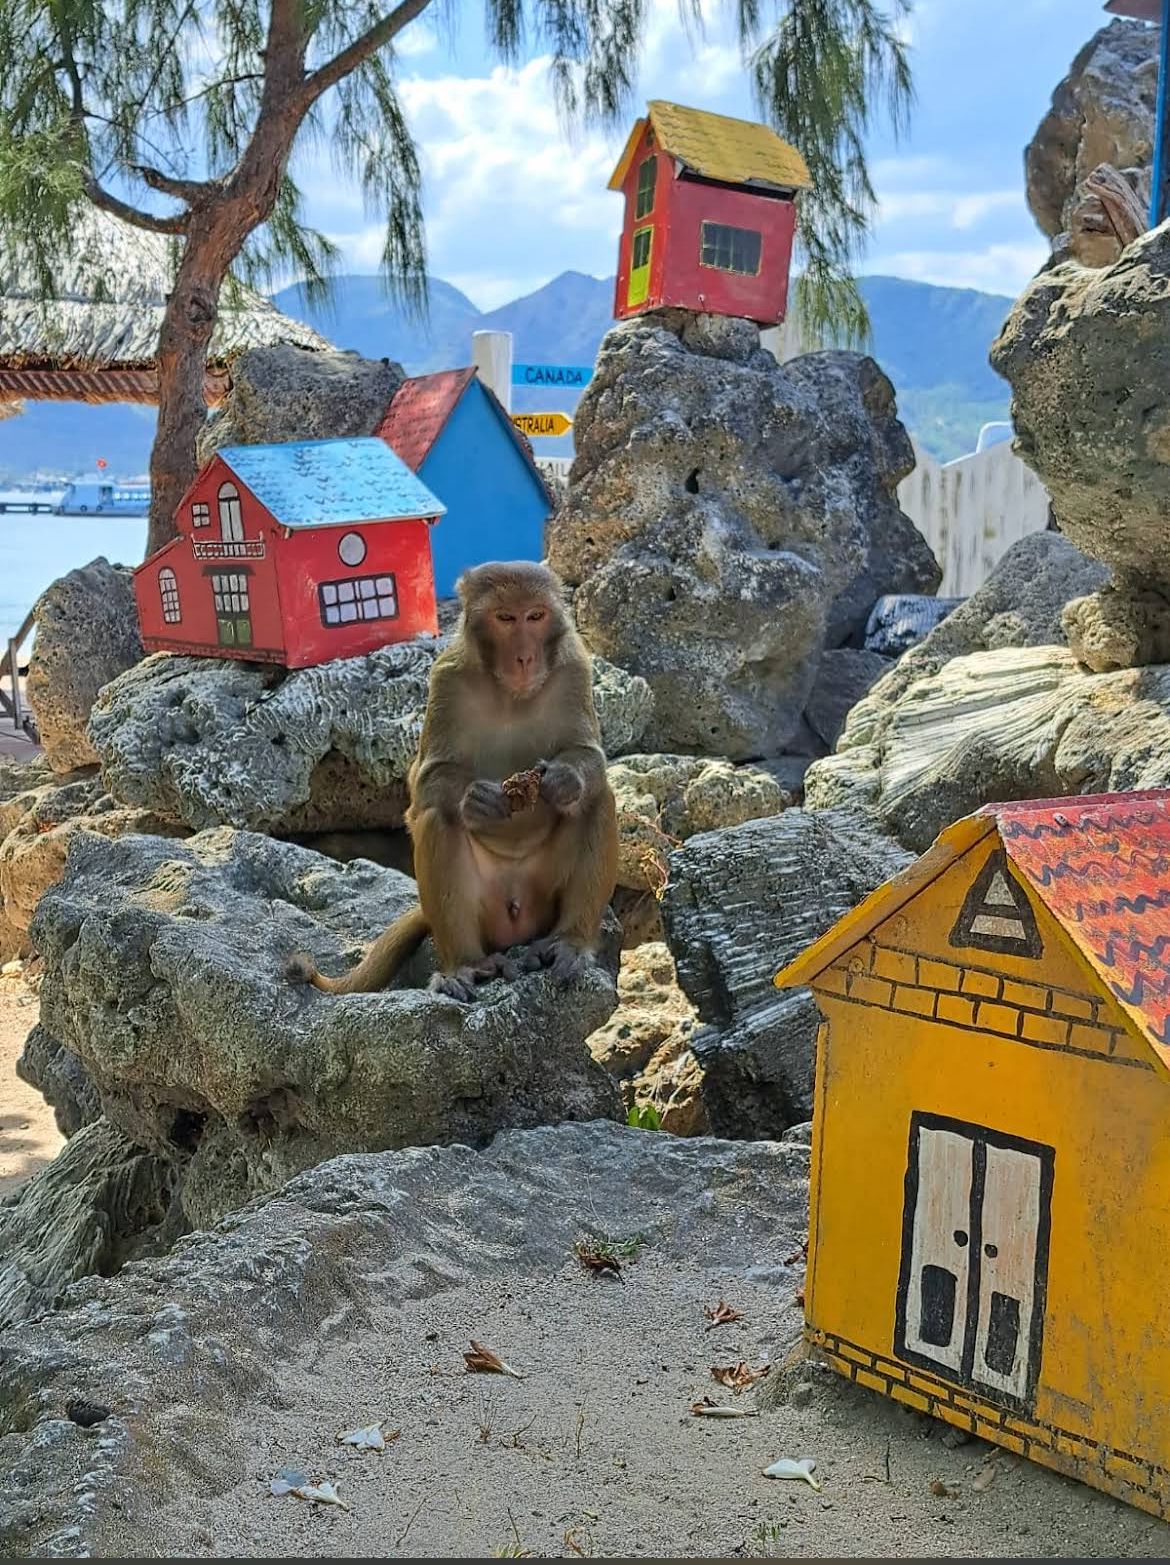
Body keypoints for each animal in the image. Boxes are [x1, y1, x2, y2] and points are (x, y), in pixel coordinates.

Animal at [291, 561, 618, 1001]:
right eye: (505, 618)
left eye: (535, 616)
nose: (524, 657)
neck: (510, 695)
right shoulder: (446, 679)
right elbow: (425, 784)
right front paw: (475, 800)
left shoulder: (575, 669)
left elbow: (591, 760)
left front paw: (565, 781)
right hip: (486, 914)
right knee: (437, 819)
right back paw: (464, 965)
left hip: (544, 904)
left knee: (599, 799)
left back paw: (570, 943)